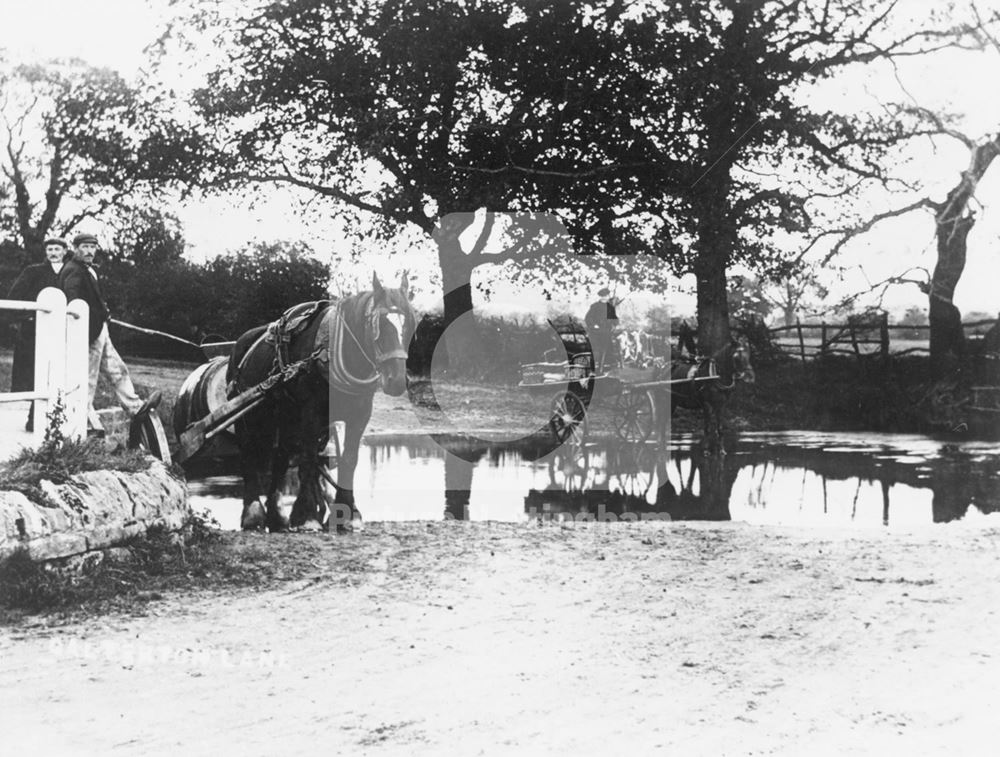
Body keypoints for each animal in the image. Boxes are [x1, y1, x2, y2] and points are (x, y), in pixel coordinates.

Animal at [227, 274, 414, 532]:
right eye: (379, 326)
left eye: (410, 326)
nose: (396, 381)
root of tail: (242, 342)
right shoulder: (311, 413)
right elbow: (308, 459)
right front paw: (307, 516)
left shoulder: (359, 415)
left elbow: (349, 459)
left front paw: (346, 513)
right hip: (251, 416)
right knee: (249, 453)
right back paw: (252, 514)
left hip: (286, 416)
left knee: (280, 457)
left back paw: (276, 515)